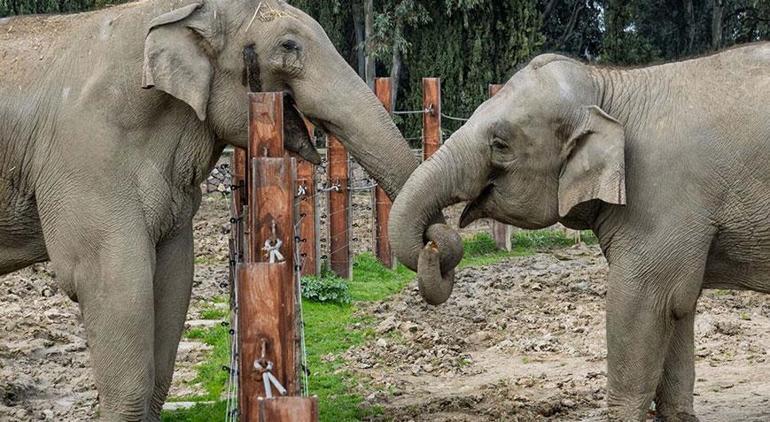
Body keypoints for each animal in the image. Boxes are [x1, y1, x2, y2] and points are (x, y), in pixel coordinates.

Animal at [0, 1, 462, 420]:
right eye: (289, 46)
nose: (436, 245)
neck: (182, 11)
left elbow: (173, 278)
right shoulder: (85, 156)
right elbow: (111, 280)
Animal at [392, 43, 768, 422]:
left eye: (500, 144)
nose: (433, 243)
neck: (609, 86)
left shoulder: (664, 197)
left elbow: (644, 300)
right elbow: (679, 306)